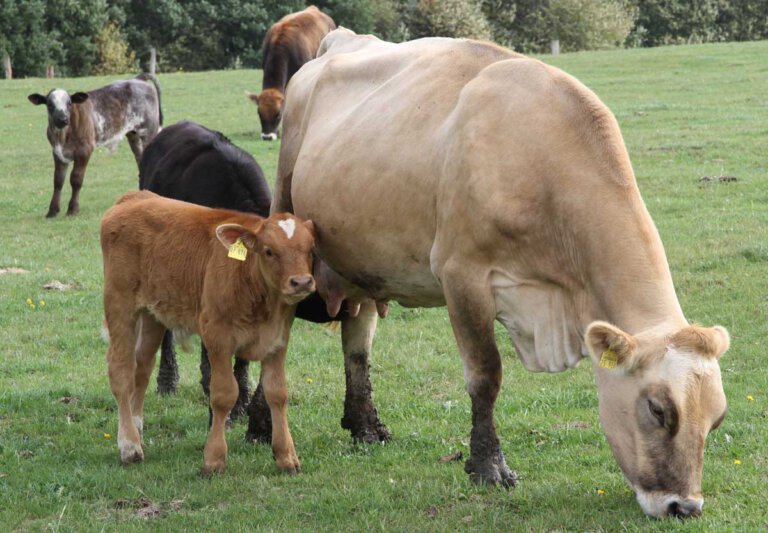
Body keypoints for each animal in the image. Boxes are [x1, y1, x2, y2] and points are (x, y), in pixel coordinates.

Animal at [27, 72, 163, 216]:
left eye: (69, 103)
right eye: (49, 104)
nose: (62, 119)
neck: (63, 136)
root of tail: (136, 79)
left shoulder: (84, 150)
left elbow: (76, 179)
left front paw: (73, 209)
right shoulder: (57, 152)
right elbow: (58, 181)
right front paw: (52, 211)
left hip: (149, 131)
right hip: (134, 135)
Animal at [100, 191, 316, 474]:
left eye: (311, 249)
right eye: (269, 251)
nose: (301, 282)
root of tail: (134, 197)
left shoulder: (277, 340)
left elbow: (277, 393)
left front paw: (286, 456)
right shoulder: (217, 336)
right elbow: (224, 394)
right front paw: (214, 459)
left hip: (152, 315)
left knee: (142, 368)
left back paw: (136, 430)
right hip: (120, 304)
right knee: (121, 371)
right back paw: (128, 445)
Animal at [274, 28, 732, 516]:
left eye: (717, 418)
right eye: (658, 409)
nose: (684, 506)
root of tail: (339, 39)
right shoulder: (462, 275)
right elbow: (485, 376)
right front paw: (488, 466)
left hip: (359, 263)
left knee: (357, 343)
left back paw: (364, 426)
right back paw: (261, 430)